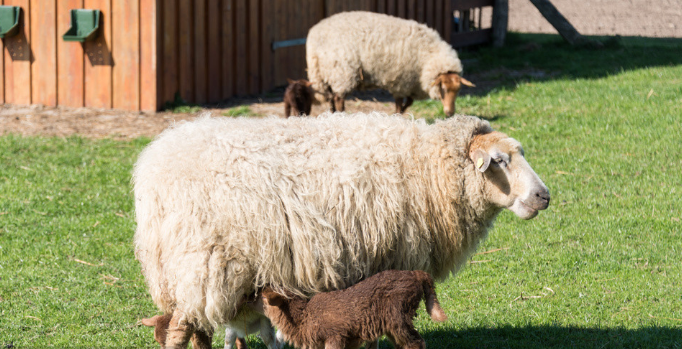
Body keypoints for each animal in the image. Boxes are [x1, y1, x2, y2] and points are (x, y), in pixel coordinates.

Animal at [260, 270, 446, 348]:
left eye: (262, 298)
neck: (303, 316)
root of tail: (418, 274)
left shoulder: (335, 335)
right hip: (392, 324)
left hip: (398, 316)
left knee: (417, 343)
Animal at [306, 11, 472, 115]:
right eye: (443, 88)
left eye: (458, 90)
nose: (450, 113)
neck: (428, 55)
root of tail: (314, 36)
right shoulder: (401, 81)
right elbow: (400, 103)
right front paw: (398, 114)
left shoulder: (409, 84)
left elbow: (409, 101)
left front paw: (401, 112)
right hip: (341, 72)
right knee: (338, 99)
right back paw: (341, 115)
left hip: (326, 74)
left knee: (330, 98)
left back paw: (332, 114)